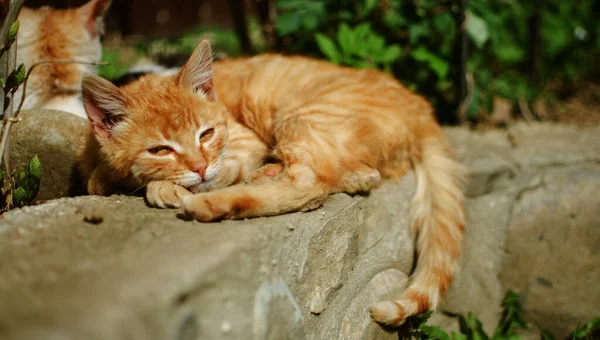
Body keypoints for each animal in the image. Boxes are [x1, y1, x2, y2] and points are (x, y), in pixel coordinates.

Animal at [78, 41, 464, 328]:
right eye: (160, 149)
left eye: (207, 134)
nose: (200, 168)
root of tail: (422, 109)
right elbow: (96, 180)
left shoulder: (243, 142)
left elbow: (222, 169)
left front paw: (168, 187)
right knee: (351, 174)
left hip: (300, 116)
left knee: (309, 183)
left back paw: (218, 201)